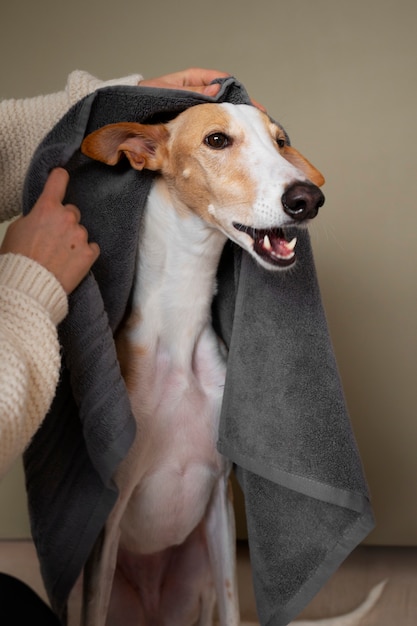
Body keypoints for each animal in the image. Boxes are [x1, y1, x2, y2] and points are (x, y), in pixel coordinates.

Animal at [75, 102, 376, 624]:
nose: (308, 199)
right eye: (216, 140)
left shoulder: (218, 498)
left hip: (195, 580)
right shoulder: (109, 520)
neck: (179, 330)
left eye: (280, 141)